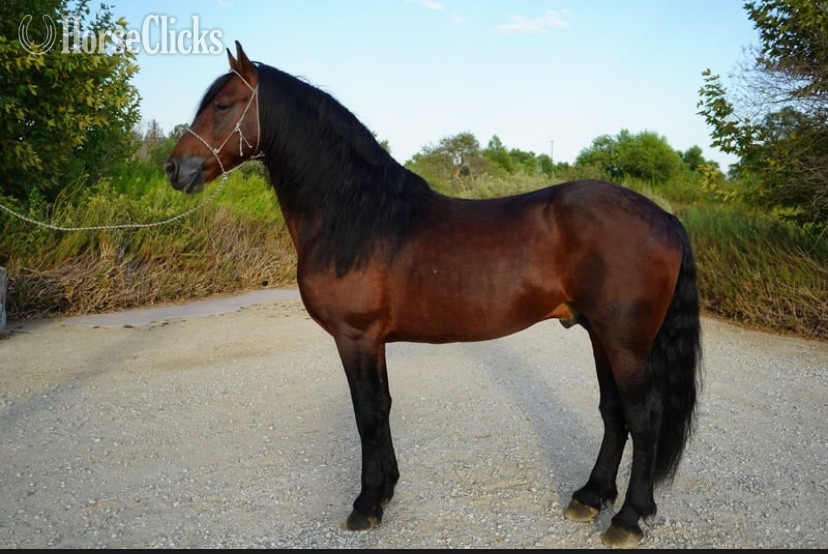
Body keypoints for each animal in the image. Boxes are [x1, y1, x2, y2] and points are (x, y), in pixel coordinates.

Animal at [166, 42, 701, 548]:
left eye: (223, 105)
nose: (175, 169)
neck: (357, 217)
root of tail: (664, 217)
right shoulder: (373, 339)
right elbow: (382, 406)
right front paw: (385, 489)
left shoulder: (354, 336)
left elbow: (365, 413)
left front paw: (366, 505)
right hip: (599, 334)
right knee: (614, 413)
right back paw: (590, 497)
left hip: (625, 342)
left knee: (644, 416)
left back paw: (628, 518)